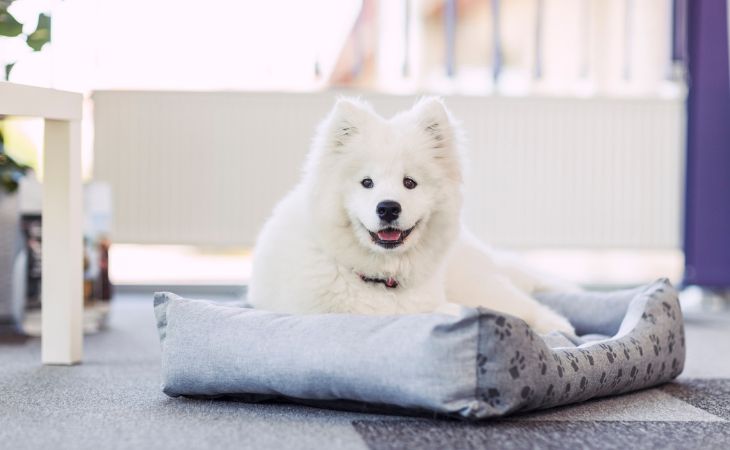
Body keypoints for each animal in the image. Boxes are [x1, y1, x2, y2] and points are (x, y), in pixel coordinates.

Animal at [249, 96, 576, 334]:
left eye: (410, 182)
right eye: (367, 182)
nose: (388, 207)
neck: (381, 281)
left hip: (477, 285)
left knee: (524, 307)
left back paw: (557, 328)